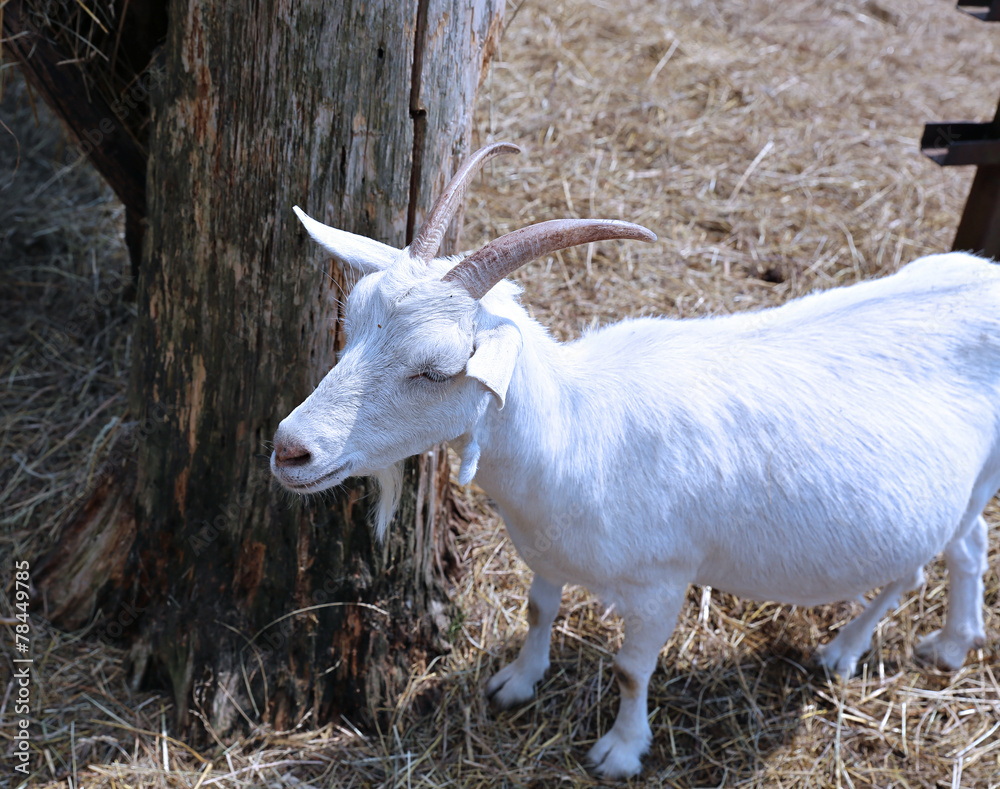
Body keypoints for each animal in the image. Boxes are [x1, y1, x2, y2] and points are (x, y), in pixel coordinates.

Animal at [271, 142, 999, 778]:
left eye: (436, 369)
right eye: (351, 322)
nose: (290, 448)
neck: (577, 430)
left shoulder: (662, 582)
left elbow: (630, 669)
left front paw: (619, 752)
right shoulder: (546, 548)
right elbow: (538, 610)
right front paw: (515, 683)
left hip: (982, 478)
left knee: (949, 552)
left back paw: (887, 647)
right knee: (938, 554)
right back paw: (911, 644)